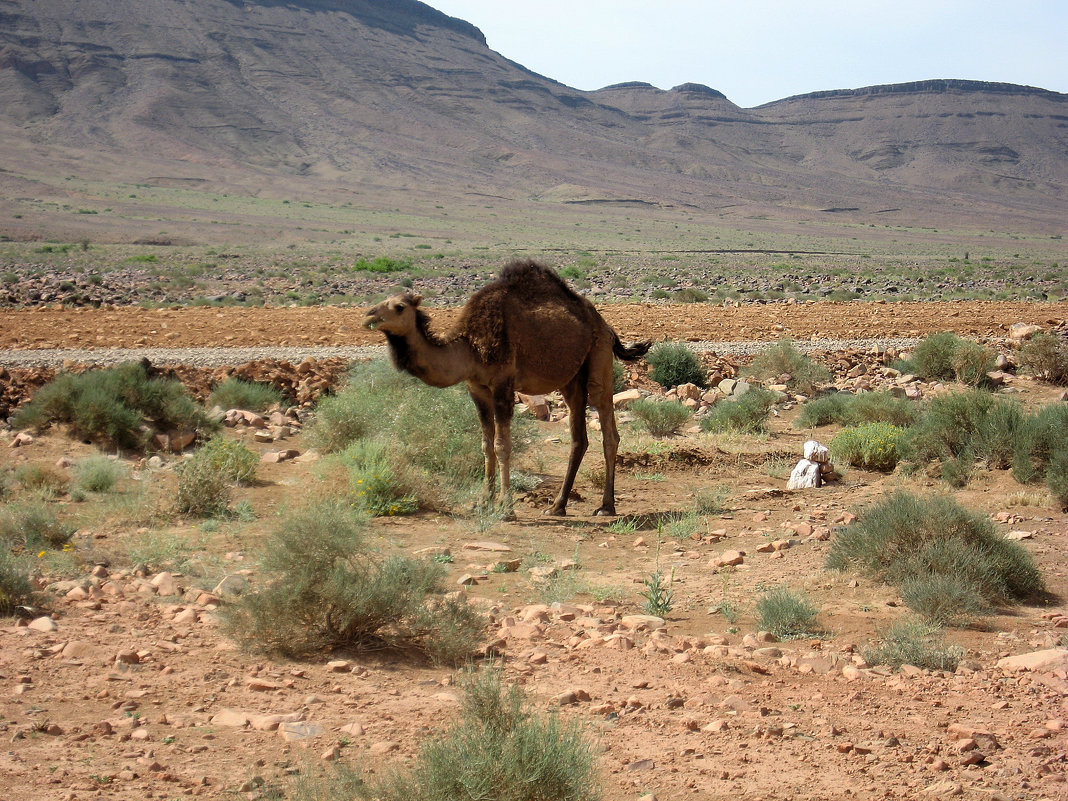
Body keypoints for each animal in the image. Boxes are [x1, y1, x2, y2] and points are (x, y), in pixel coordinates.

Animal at [363, 260, 649, 516]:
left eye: (399, 307)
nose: (368, 315)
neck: (469, 346)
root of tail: (605, 324)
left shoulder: (502, 384)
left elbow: (502, 445)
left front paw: (506, 507)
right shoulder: (477, 388)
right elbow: (485, 445)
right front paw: (483, 503)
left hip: (599, 355)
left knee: (608, 426)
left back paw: (606, 506)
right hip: (571, 379)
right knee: (579, 436)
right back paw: (557, 506)